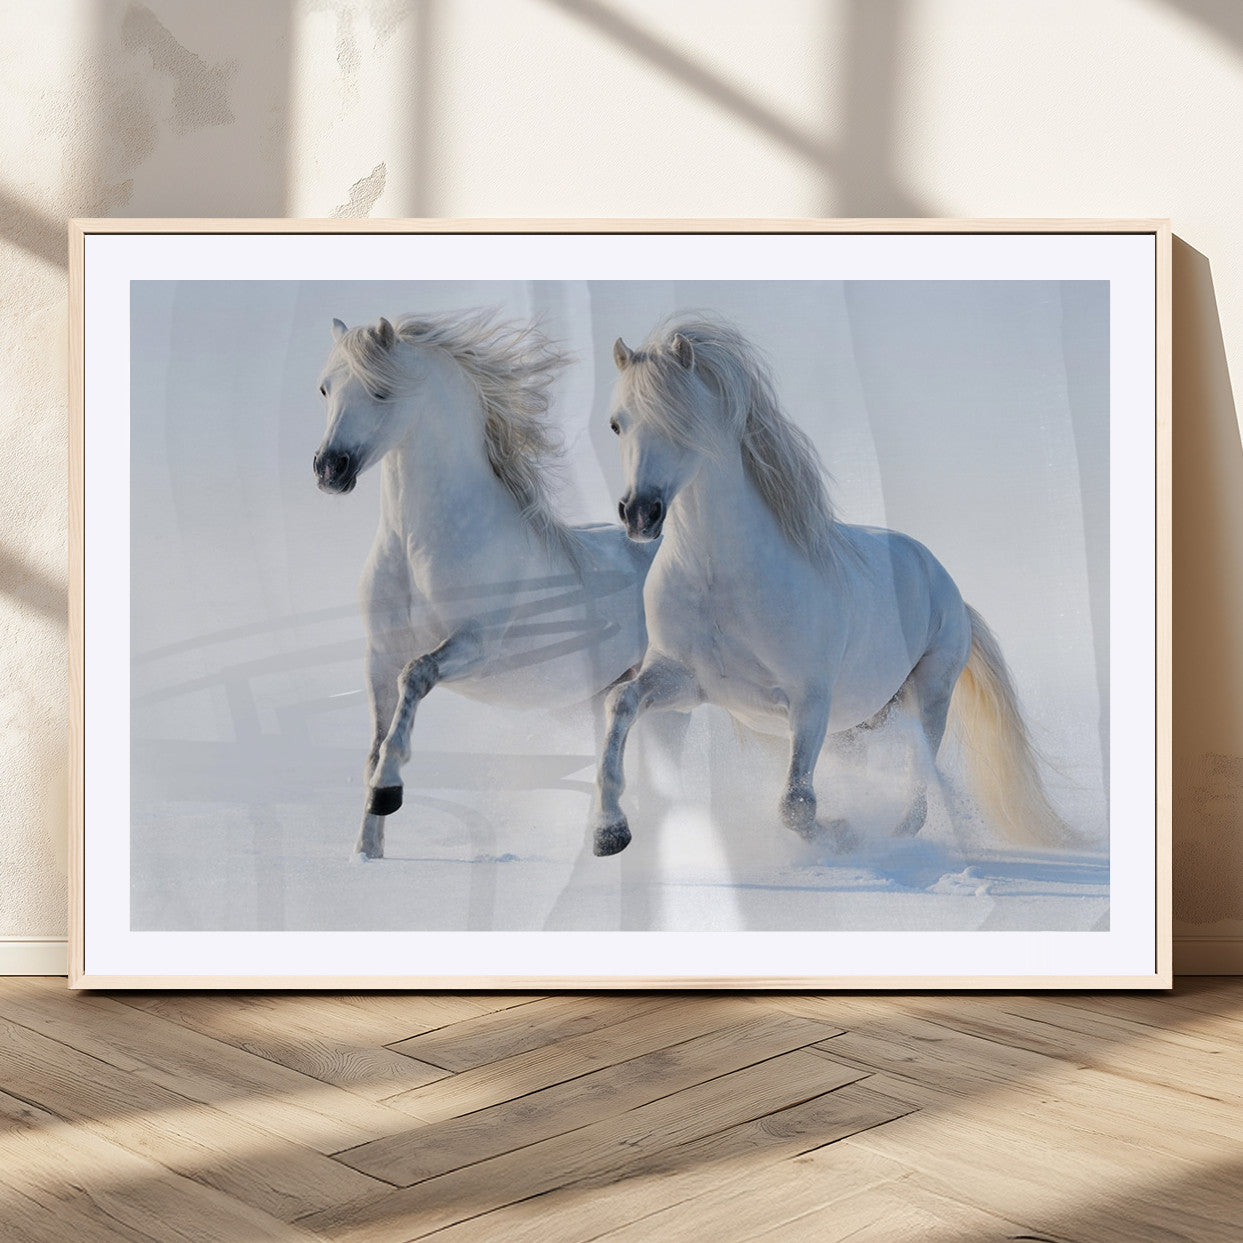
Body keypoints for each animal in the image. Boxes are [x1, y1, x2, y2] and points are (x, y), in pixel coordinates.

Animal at [313, 311, 657, 861]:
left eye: (381, 391)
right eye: (325, 388)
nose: (330, 469)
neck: (417, 545)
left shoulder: (475, 644)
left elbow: (415, 678)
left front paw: (388, 791)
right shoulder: (378, 655)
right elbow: (374, 742)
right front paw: (367, 852)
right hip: (603, 690)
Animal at [588, 315, 1071, 858]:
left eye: (683, 421)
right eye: (616, 423)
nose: (640, 514)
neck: (720, 581)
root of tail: (946, 584)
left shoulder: (809, 703)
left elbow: (796, 805)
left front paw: (843, 834)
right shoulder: (684, 682)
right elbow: (620, 703)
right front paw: (610, 831)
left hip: (928, 698)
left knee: (918, 789)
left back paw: (891, 840)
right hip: (855, 727)